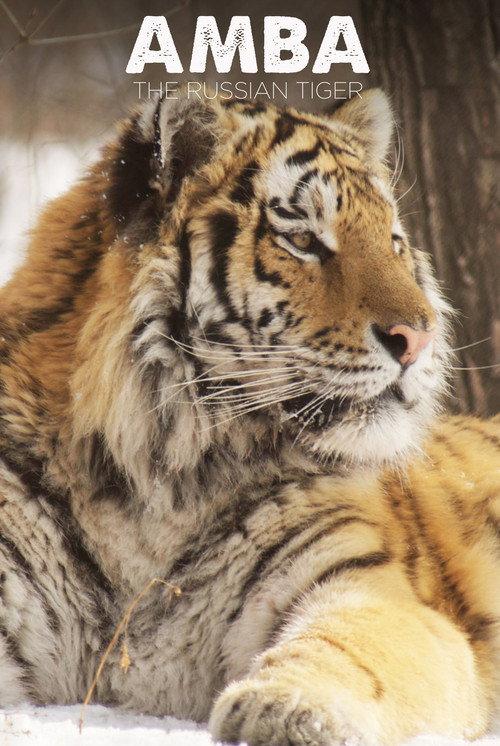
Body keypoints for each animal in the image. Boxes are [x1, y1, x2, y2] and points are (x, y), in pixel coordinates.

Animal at [0, 88, 498, 745]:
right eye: (304, 240)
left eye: (393, 239)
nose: (420, 337)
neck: (156, 483)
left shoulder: (367, 584)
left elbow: (347, 647)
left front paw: (287, 709)